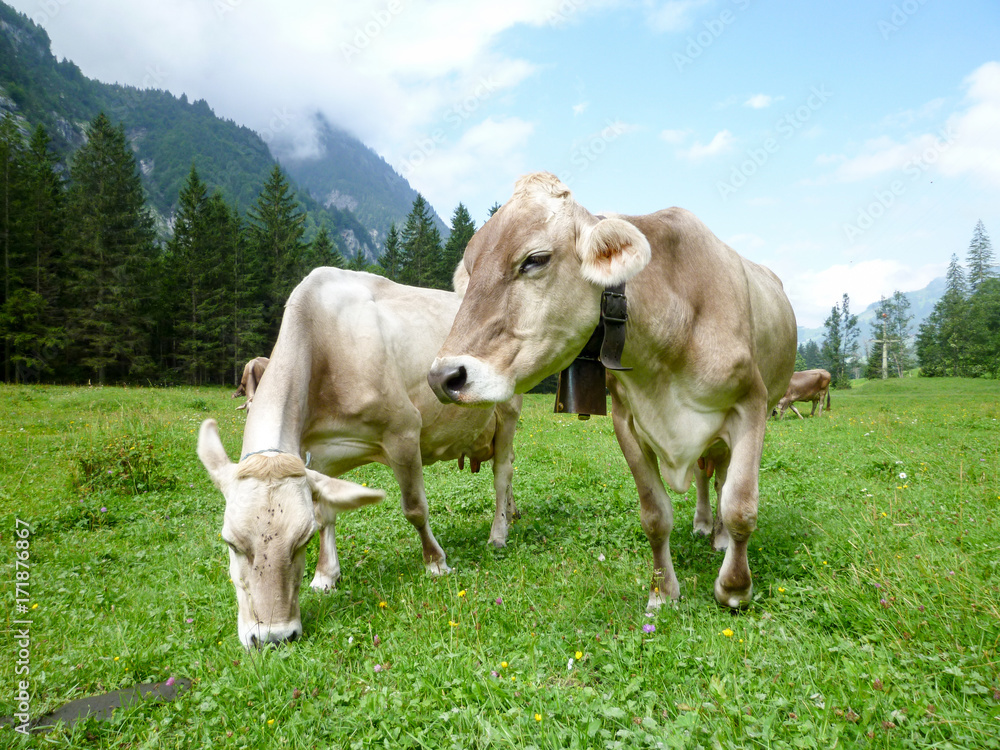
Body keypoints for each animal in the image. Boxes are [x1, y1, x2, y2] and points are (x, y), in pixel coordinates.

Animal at [197, 268, 524, 648]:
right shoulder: (318, 456)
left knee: (502, 474)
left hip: (507, 411)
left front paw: (436, 562)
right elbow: (325, 513)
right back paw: (512, 513)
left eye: (301, 541)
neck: (327, 347)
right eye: (231, 542)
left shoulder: (404, 432)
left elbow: (415, 508)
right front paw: (325, 575)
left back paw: (498, 532)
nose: (273, 637)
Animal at [430, 173, 796, 612]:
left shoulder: (751, 406)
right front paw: (663, 592)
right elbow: (655, 515)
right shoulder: (628, 422)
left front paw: (735, 588)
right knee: (706, 476)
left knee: (722, 479)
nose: (443, 376)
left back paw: (720, 536)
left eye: (534, 259)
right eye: (470, 268)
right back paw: (704, 524)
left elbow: (741, 505)